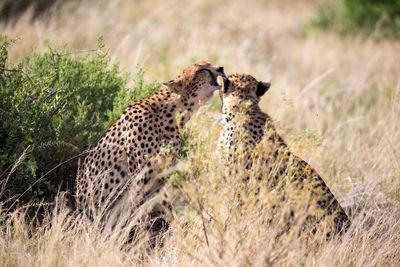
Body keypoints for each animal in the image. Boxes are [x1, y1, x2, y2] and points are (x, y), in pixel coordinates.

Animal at [74, 62, 225, 243]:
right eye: (203, 69)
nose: (221, 68)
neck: (171, 113)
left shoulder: (158, 179)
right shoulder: (140, 179)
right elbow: (139, 213)